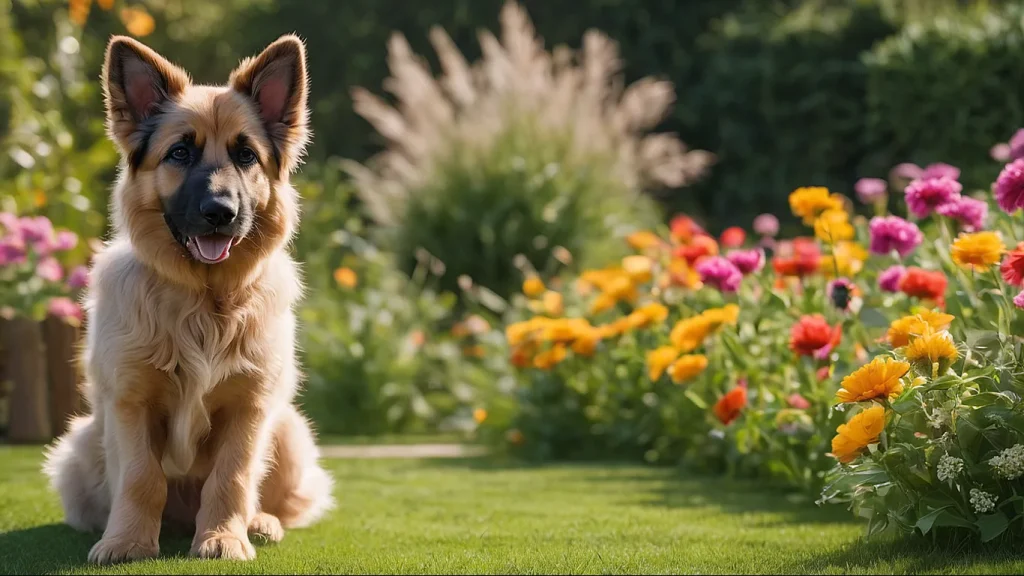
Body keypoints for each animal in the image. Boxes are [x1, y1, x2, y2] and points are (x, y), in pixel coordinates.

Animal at [43, 32, 331, 561]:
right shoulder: (131, 403)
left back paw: (259, 522)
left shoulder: (249, 408)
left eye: (246, 156)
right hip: (82, 442)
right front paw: (127, 541)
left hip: (289, 429)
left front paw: (222, 537)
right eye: (179, 153)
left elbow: (232, 477)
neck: (204, 300)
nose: (220, 211)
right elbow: (141, 477)